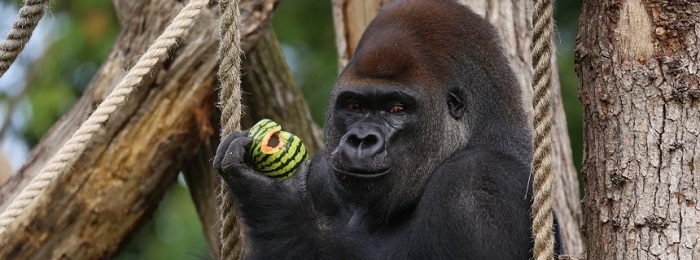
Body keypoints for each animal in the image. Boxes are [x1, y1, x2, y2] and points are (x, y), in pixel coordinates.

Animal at [213, 0, 564, 256]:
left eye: (397, 108)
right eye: (355, 106)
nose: (361, 139)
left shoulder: (479, 187)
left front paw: (269, 195)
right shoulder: (325, 171)